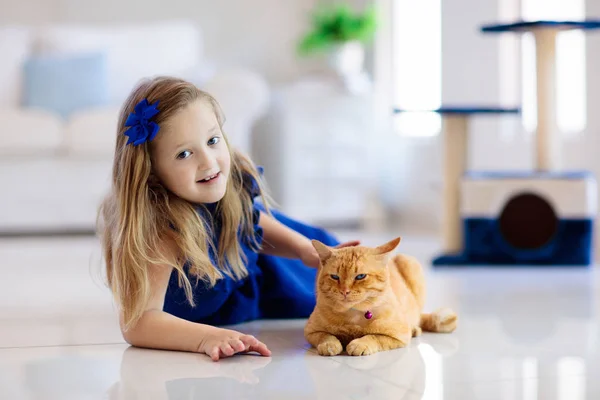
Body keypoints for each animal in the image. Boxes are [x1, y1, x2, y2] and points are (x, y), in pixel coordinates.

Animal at [308, 238, 458, 356]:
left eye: (360, 276)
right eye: (334, 277)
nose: (345, 291)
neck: (353, 314)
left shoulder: (399, 335)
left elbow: (374, 337)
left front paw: (360, 344)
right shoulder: (311, 331)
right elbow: (325, 336)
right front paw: (329, 344)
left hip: (409, 263)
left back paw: (415, 329)